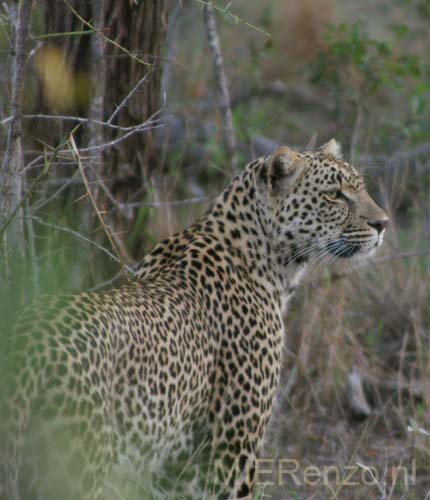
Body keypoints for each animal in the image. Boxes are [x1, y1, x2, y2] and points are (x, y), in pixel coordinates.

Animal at [0, 140, 388, 500]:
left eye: (360, 187)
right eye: (334, 195)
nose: (383, 223)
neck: (274, 263)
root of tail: (27, 339)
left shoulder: (174, 468)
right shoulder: (232, 450)